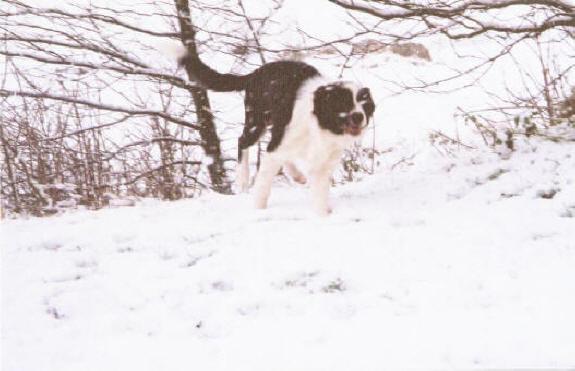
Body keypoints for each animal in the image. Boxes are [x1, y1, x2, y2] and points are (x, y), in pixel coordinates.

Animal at [180, 52, 378, 215]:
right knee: (242, 141)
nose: (359, 116)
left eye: (364, 105)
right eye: (344, 103)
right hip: (257, 122)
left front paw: (323, 215)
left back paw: (297, 175)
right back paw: (242, 180)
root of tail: (256, 72)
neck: (318, 124)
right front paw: (258, 209)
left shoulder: (321, 164)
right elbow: (263, 185)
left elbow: (319, 194)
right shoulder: (279, 147)